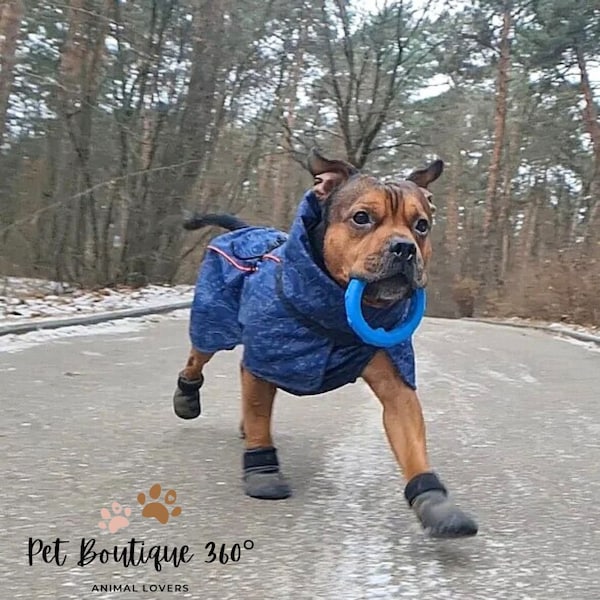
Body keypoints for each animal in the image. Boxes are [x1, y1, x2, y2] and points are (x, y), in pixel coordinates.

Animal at [173, 149, 478, 540]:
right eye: (362, 218)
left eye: (421, 225)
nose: (404, 248)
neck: (335, 316)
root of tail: (245, 229)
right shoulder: (269, 352)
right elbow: (258, 412)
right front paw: (262, 471)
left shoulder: (396, 385)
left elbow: (411, 441)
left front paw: (435, 503)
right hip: (214, 319)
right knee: (199, 357)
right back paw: (187, 397)